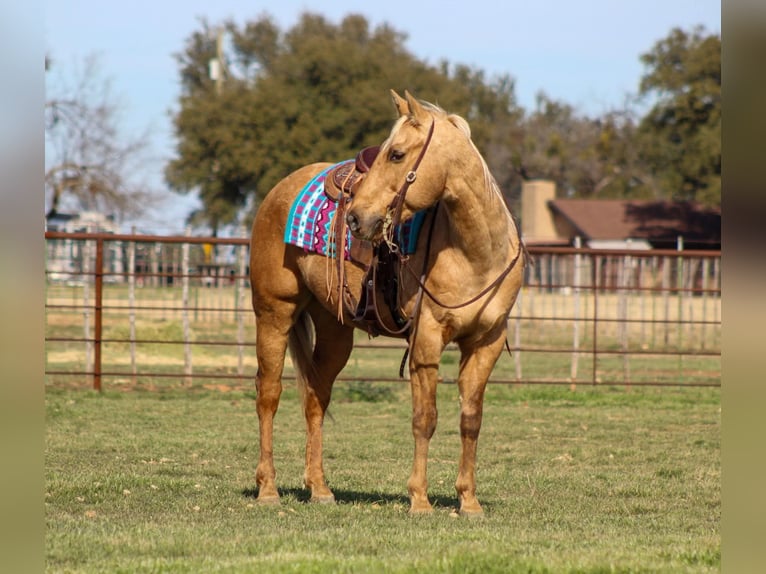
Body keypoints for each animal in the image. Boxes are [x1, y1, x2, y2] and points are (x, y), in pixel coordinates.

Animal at [249, 90, 526, 516]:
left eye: (396, 154)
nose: (356, 219)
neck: (476, 253)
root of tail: (279, 190)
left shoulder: (487, 343)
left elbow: (471, 420)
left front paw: (469, 501)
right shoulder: (426, 340)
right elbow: (425, 418)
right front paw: (420, 500)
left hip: (333, 329)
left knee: (316, 397)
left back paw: (320, 488)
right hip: (274, 314)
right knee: (269, 394)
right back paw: (267, 489)